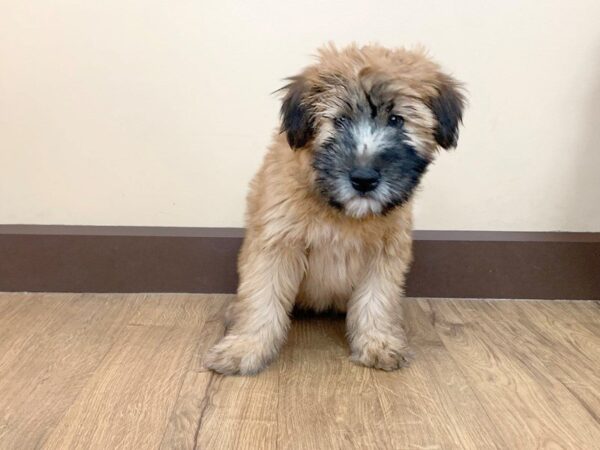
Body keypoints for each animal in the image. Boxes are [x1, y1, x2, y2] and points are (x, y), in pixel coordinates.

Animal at [205, 44, 464, 376]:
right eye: (339, 121)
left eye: (396, 120)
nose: (364, 179)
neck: (341, 213)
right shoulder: (276, 244)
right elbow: (262, 297)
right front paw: (244, 348)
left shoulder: (385, 252)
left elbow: (377, 299)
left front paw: (378, 343)